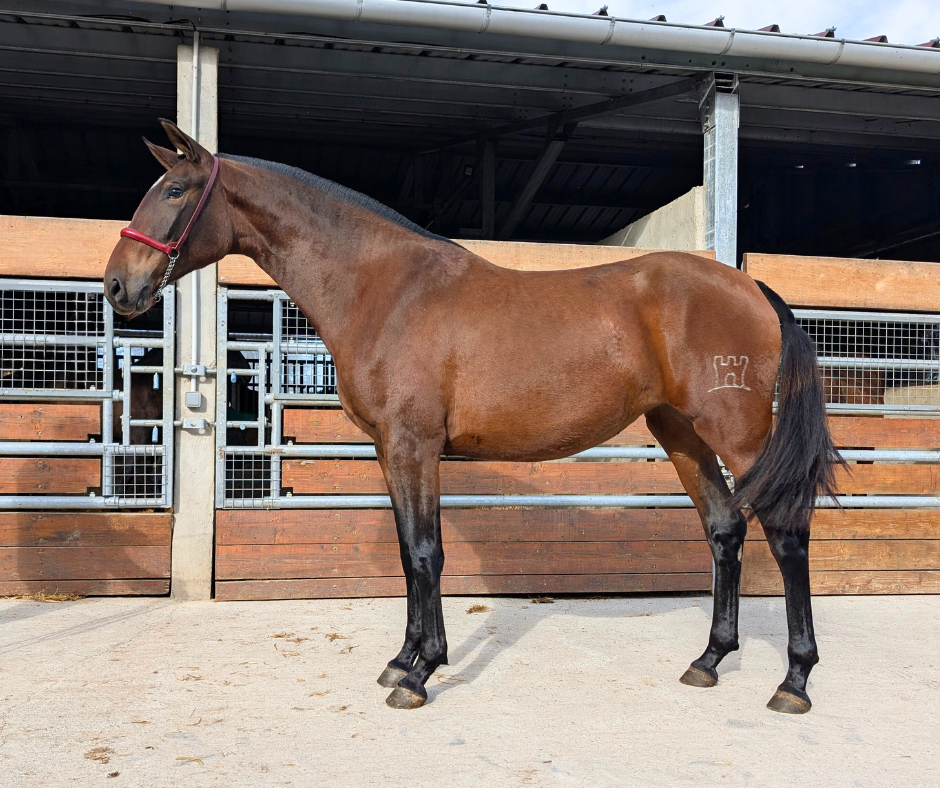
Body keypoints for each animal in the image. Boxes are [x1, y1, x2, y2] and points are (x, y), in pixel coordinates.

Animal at [104, 120, 841, 714]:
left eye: (174, 192)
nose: (116, 286)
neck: (384, 287)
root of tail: (751, 287)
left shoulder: (414, 446)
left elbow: (426, 552)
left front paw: (420, 674)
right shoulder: (392, 451)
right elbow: (409, 551)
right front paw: (402, 660)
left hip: (737, 434)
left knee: (785, 531)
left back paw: (795, 681)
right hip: (681, 432)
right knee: (723, 529)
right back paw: (709, 660)